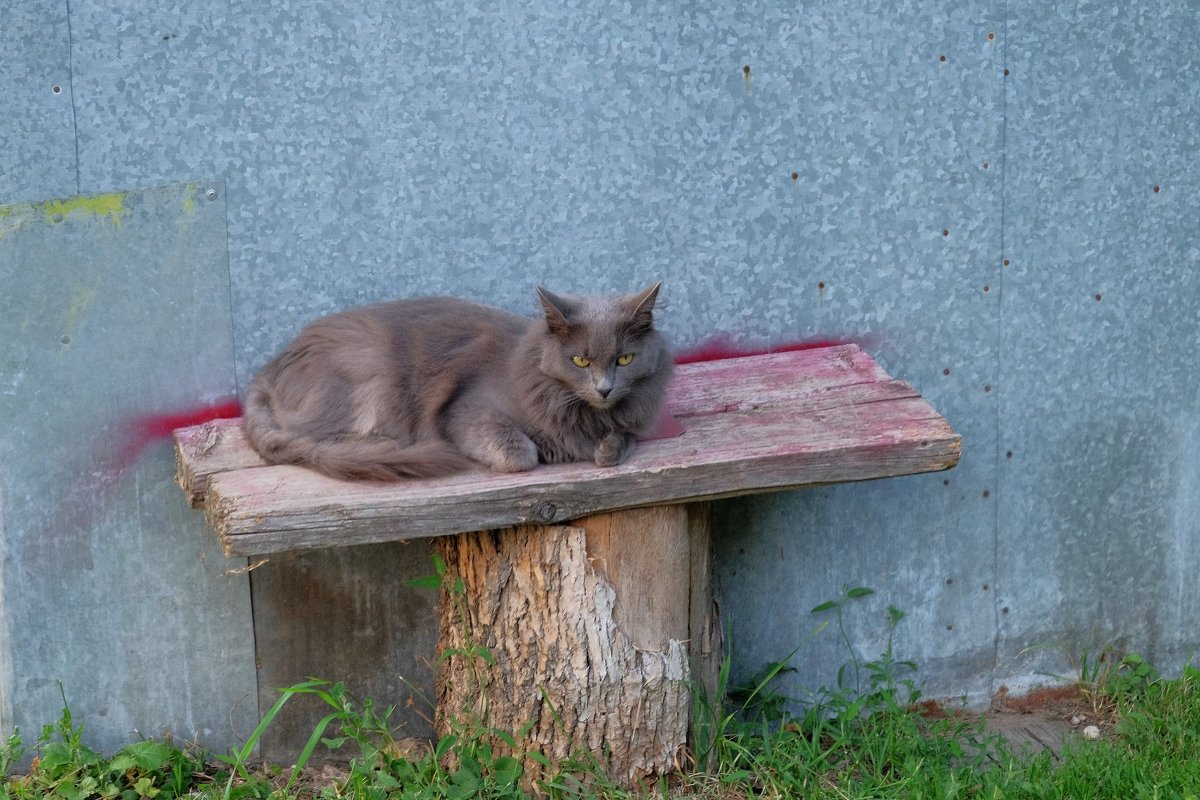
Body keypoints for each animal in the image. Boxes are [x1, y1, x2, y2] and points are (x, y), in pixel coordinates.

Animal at [243, 283, 676, 482]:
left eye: (624, 359)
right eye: (580, 360)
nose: (604, 388)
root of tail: (272, 365)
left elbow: (622, 441)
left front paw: (607, 448)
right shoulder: (468, 410)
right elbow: (520, 453)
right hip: (369, 370)